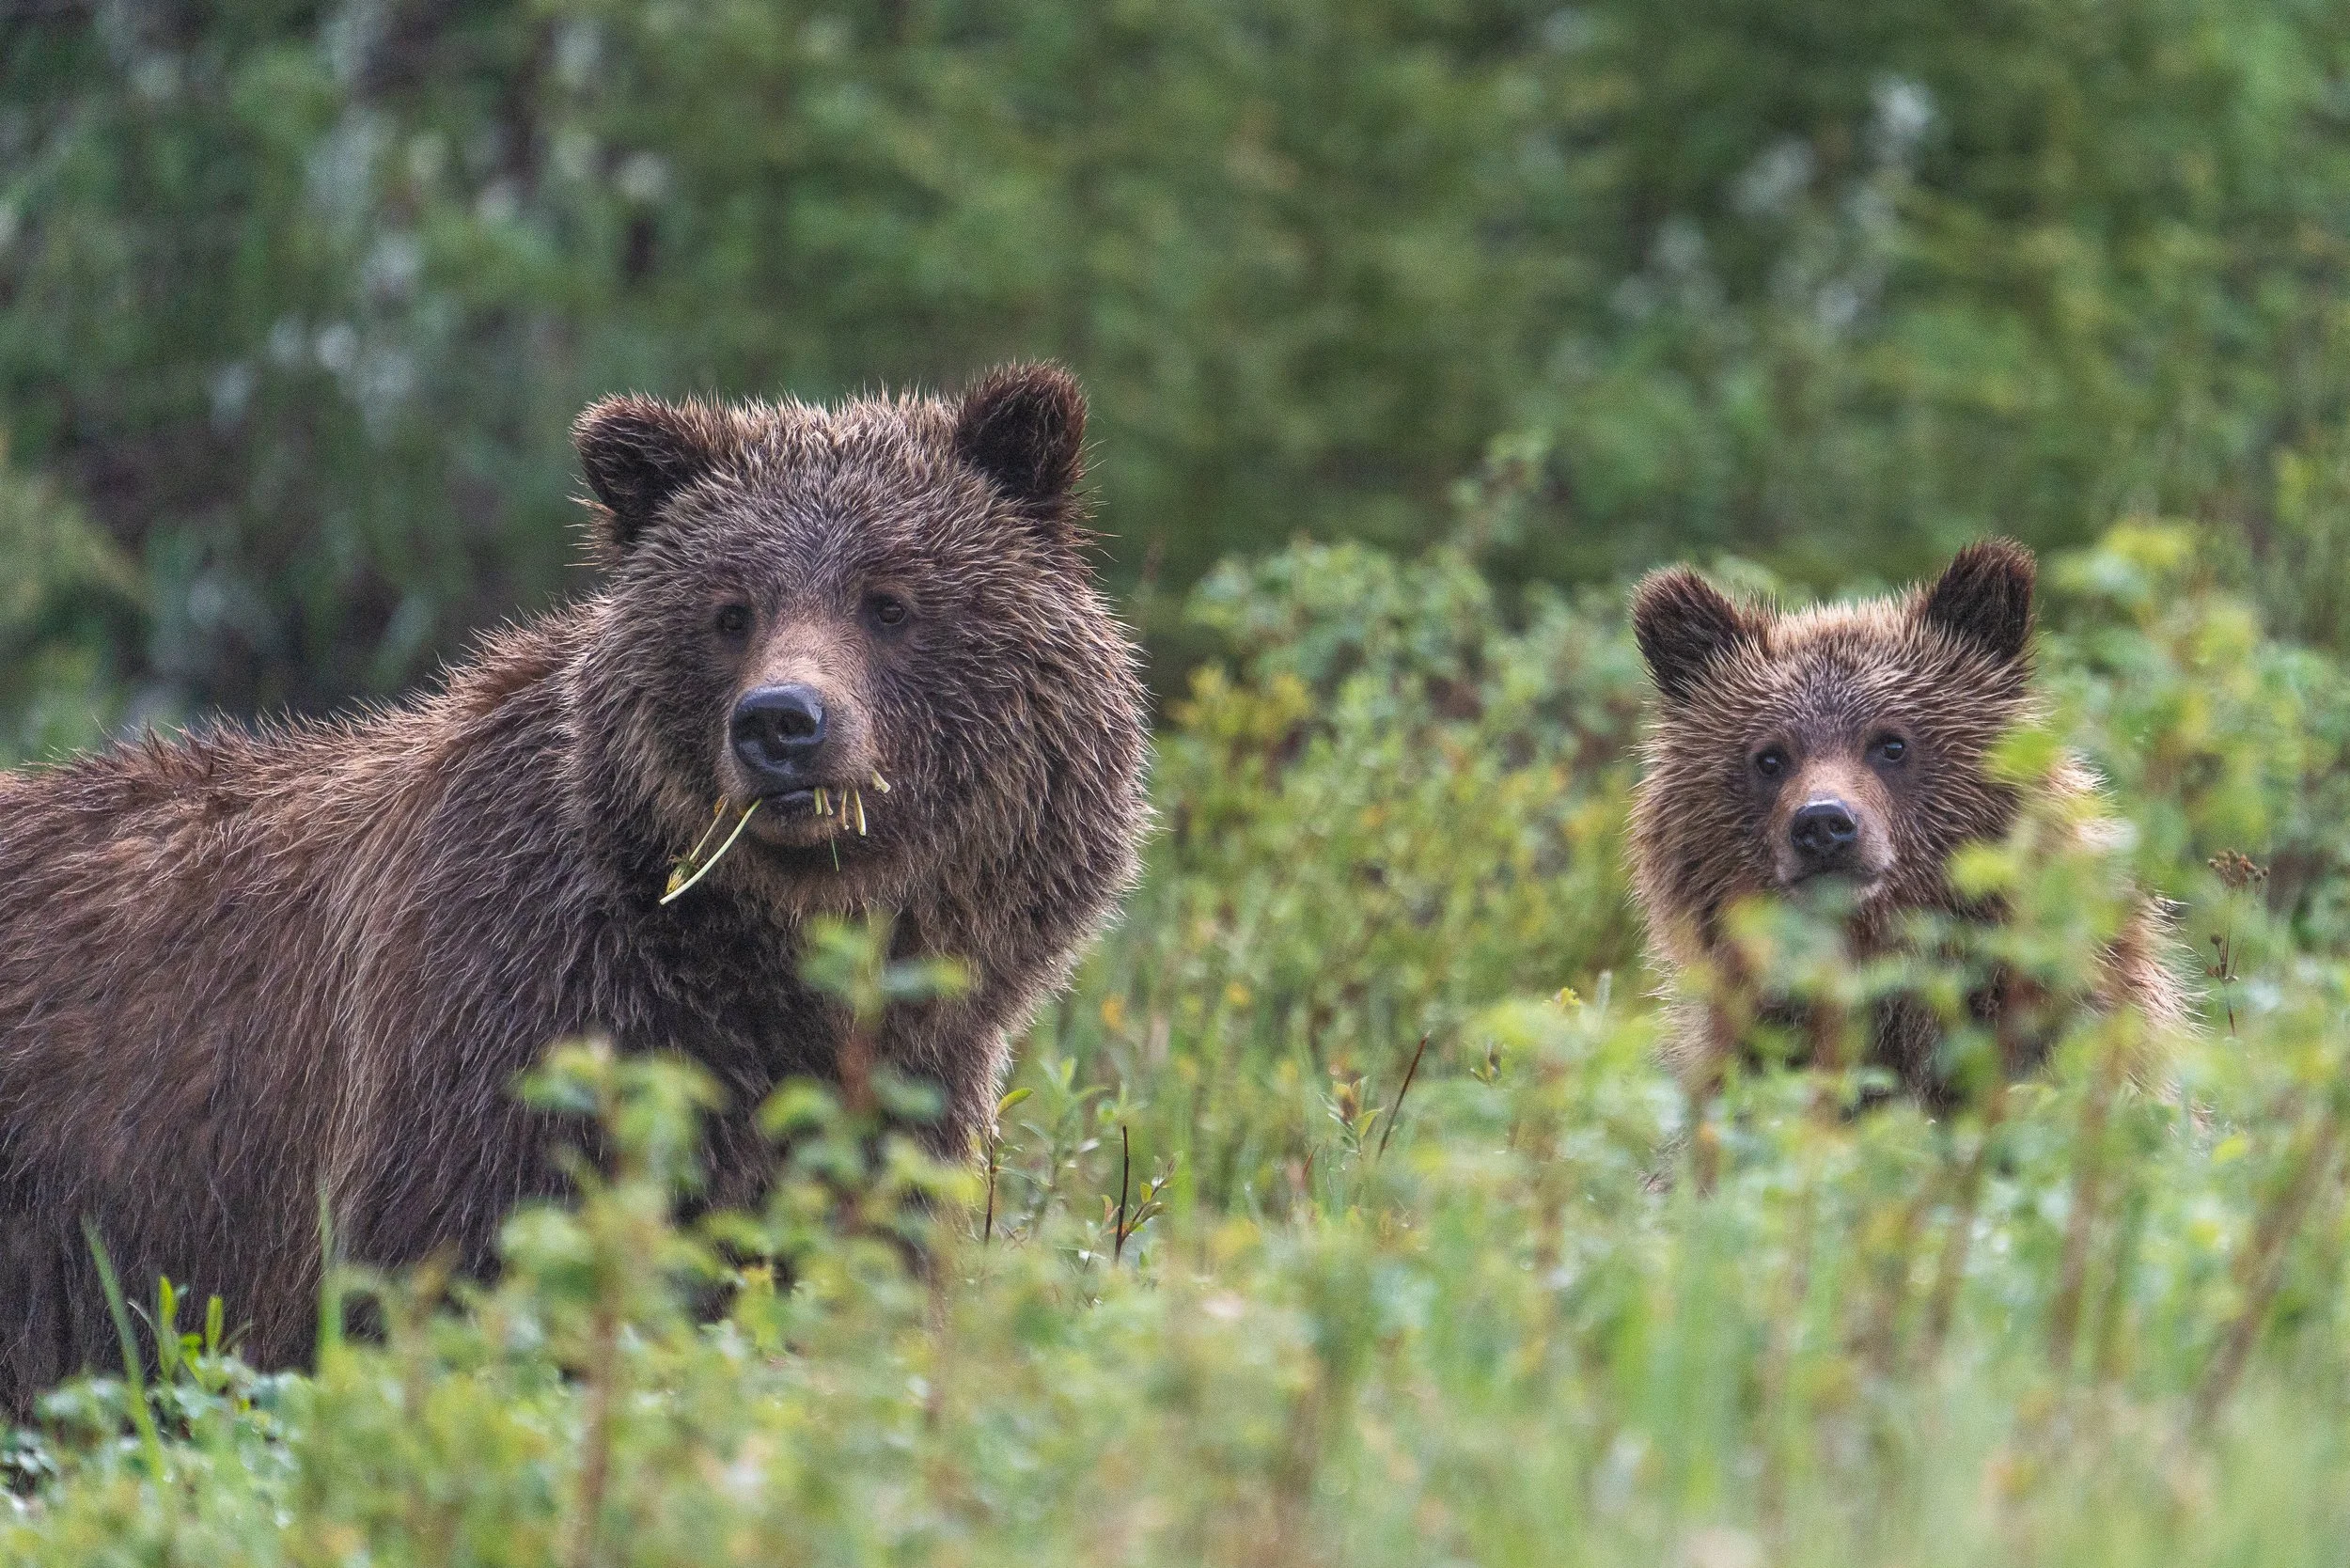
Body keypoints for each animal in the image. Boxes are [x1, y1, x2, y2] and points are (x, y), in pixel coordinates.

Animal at [0, 363, 1150, 1410]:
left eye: (890, 600)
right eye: (730, 610)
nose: (781, 722)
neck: (769, 966)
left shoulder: (894, 1090)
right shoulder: (506, 1022)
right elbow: (460, 1276)